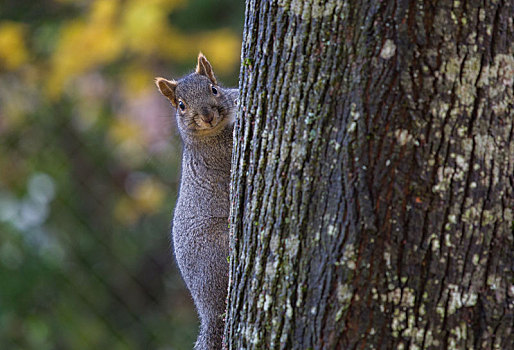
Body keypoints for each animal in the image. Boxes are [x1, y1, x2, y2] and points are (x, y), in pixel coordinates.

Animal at [154, 52, 238, 350]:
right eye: (181, 105)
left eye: (213, 89)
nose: (208, 116)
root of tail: (207, 310)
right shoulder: (219, 150)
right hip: (218, 251)